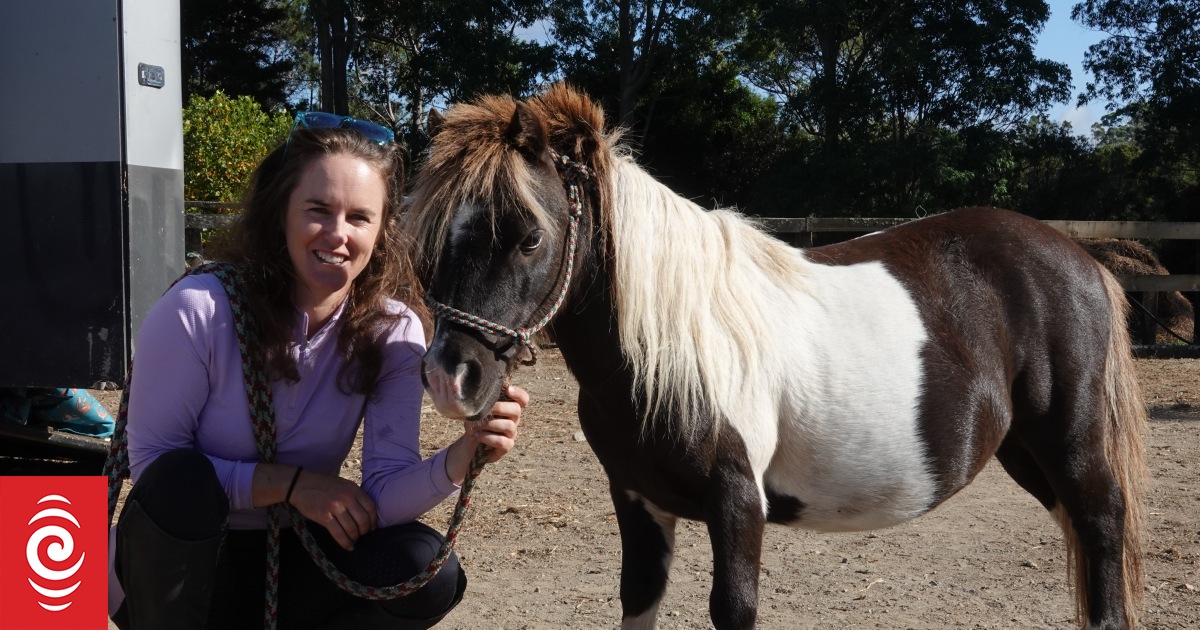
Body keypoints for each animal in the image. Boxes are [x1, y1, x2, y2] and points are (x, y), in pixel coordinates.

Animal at [404, 84, 1147, 630]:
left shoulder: (738, 504)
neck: (676, 345)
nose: (449, 376)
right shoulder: (637, 500)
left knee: (1102, 531)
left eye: (529, 236)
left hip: (1072, 450)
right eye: (436, 239)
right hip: (1024, 453)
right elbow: (637, 597)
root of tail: (1081, 259)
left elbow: (733, 609)